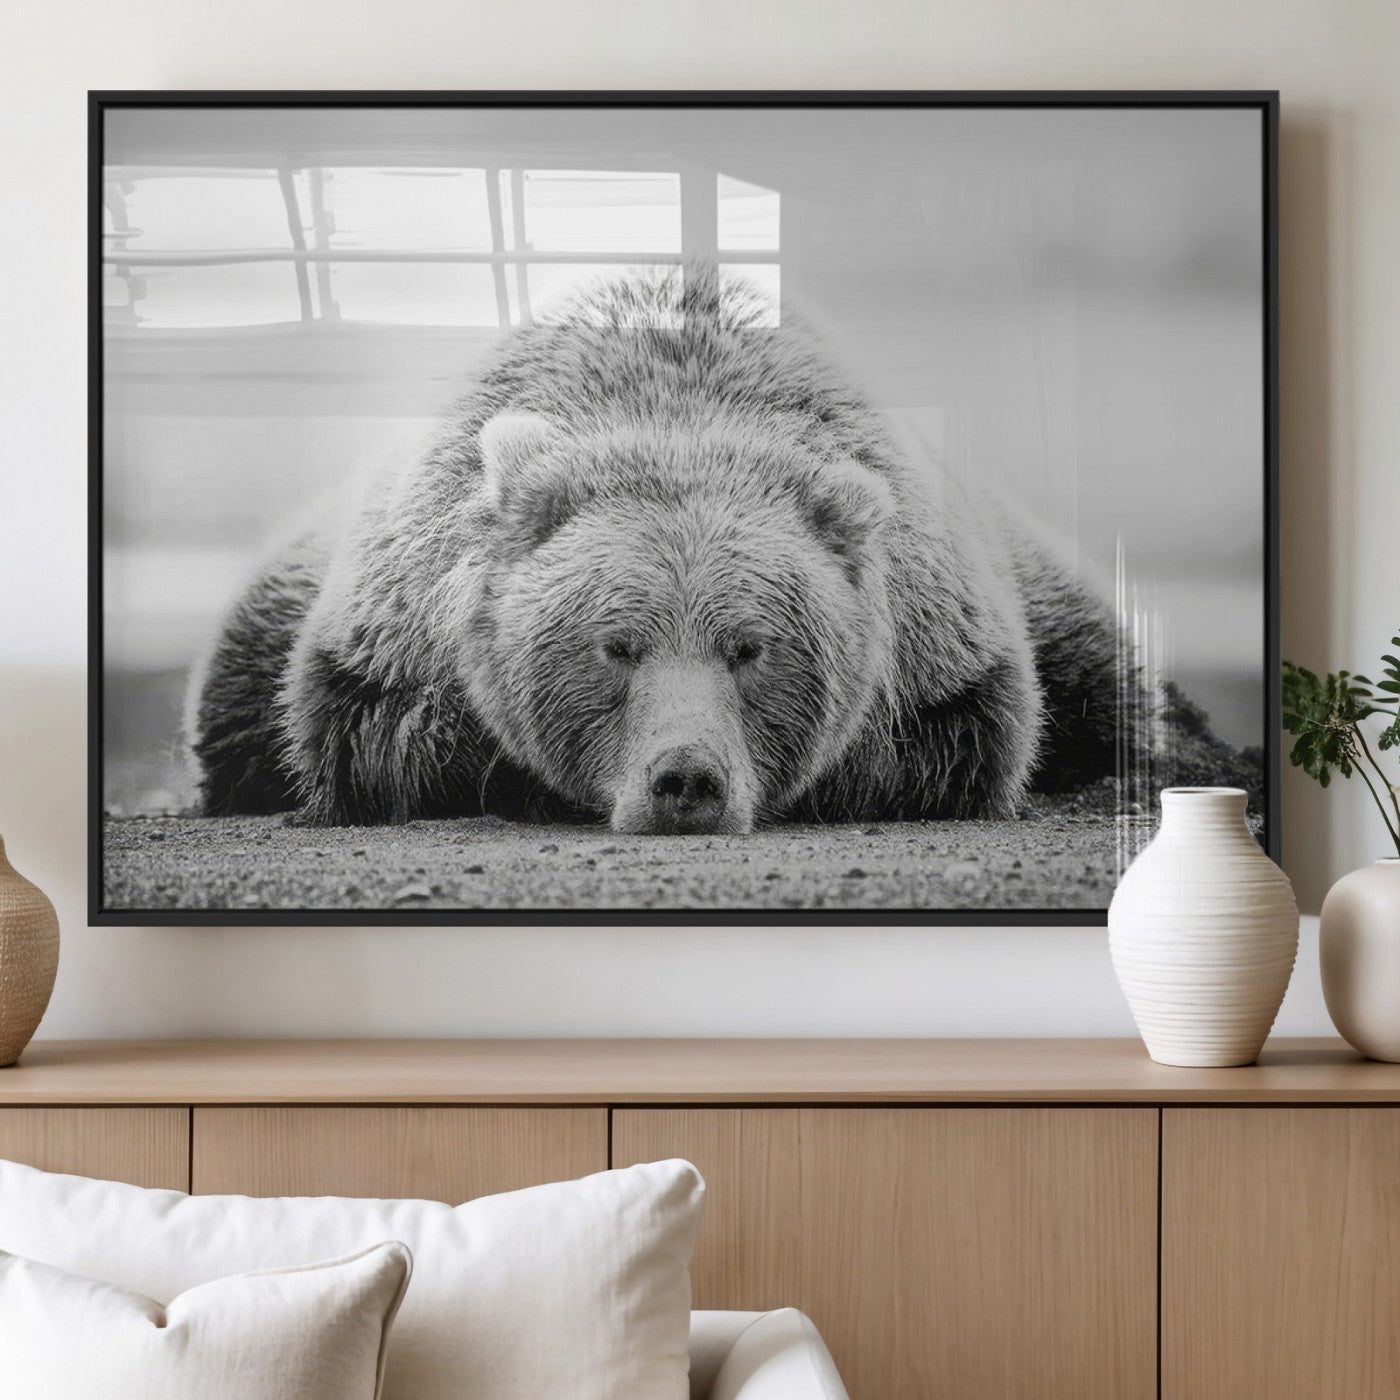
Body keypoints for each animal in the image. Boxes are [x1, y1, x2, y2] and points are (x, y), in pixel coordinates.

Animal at [186, 264, 1130, 834]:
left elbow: (963, 737)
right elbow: (373, 735)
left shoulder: (943, 638)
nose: (687, 781)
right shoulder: (394, 624)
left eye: (751, 647)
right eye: (617, 645)